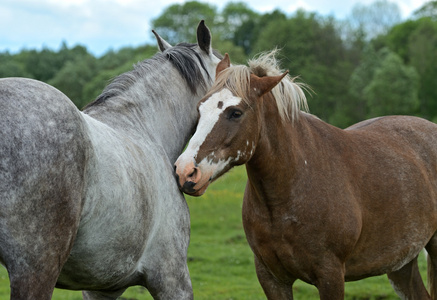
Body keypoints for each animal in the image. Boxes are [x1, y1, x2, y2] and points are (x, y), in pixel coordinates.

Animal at [175, 50, 437, 298]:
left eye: (235, 113)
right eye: (200, 108)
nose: (186, 172)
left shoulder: (331, 276)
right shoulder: (272, 277)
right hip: (401, 263)